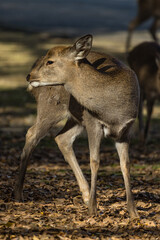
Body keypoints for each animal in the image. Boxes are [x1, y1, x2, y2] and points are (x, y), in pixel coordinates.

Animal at [24, 34, 139, 218]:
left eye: (50, 61)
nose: (29, 76)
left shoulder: (126, 130)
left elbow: (125, 164)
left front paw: (133, 212)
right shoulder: (93, 123)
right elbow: (94, 161)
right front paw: (93, 208)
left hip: (76, 119)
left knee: (61, 138)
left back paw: (85, 194)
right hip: (50, 107)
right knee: (32, 133)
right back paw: (17, 195)